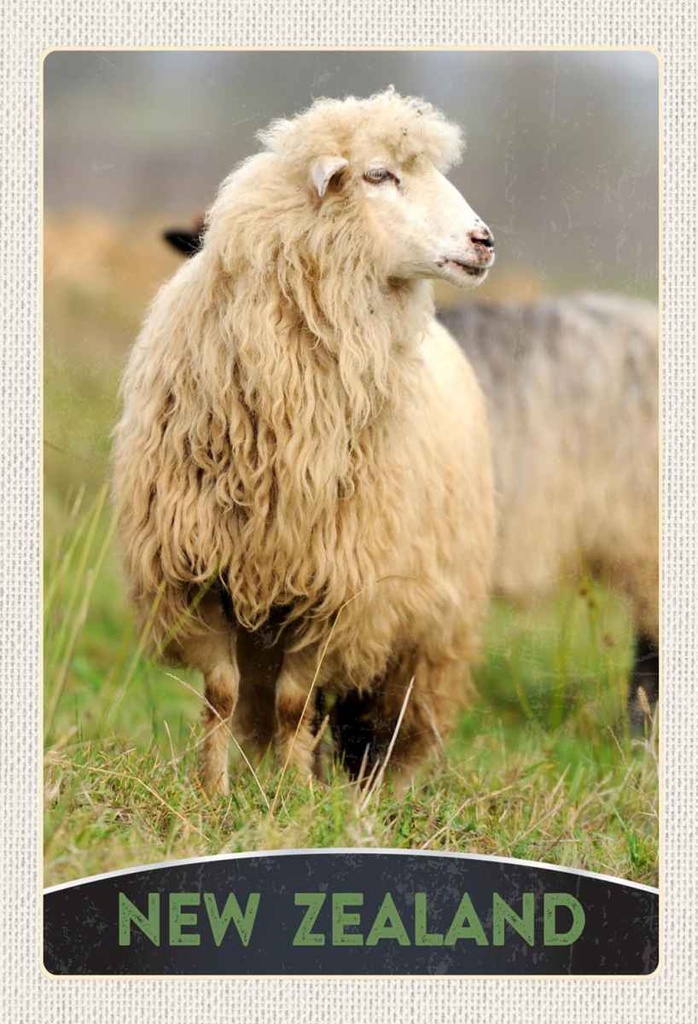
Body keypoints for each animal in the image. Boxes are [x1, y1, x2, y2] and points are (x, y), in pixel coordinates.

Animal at [113, 89, 497, 795]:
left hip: (427, 628)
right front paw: (213, 793)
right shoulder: (200, 571)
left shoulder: (338, 589)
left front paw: (292, 800)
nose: (483, 242)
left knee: (387, 718)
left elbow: (297, 704)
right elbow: (222, 695)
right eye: (379, 174)